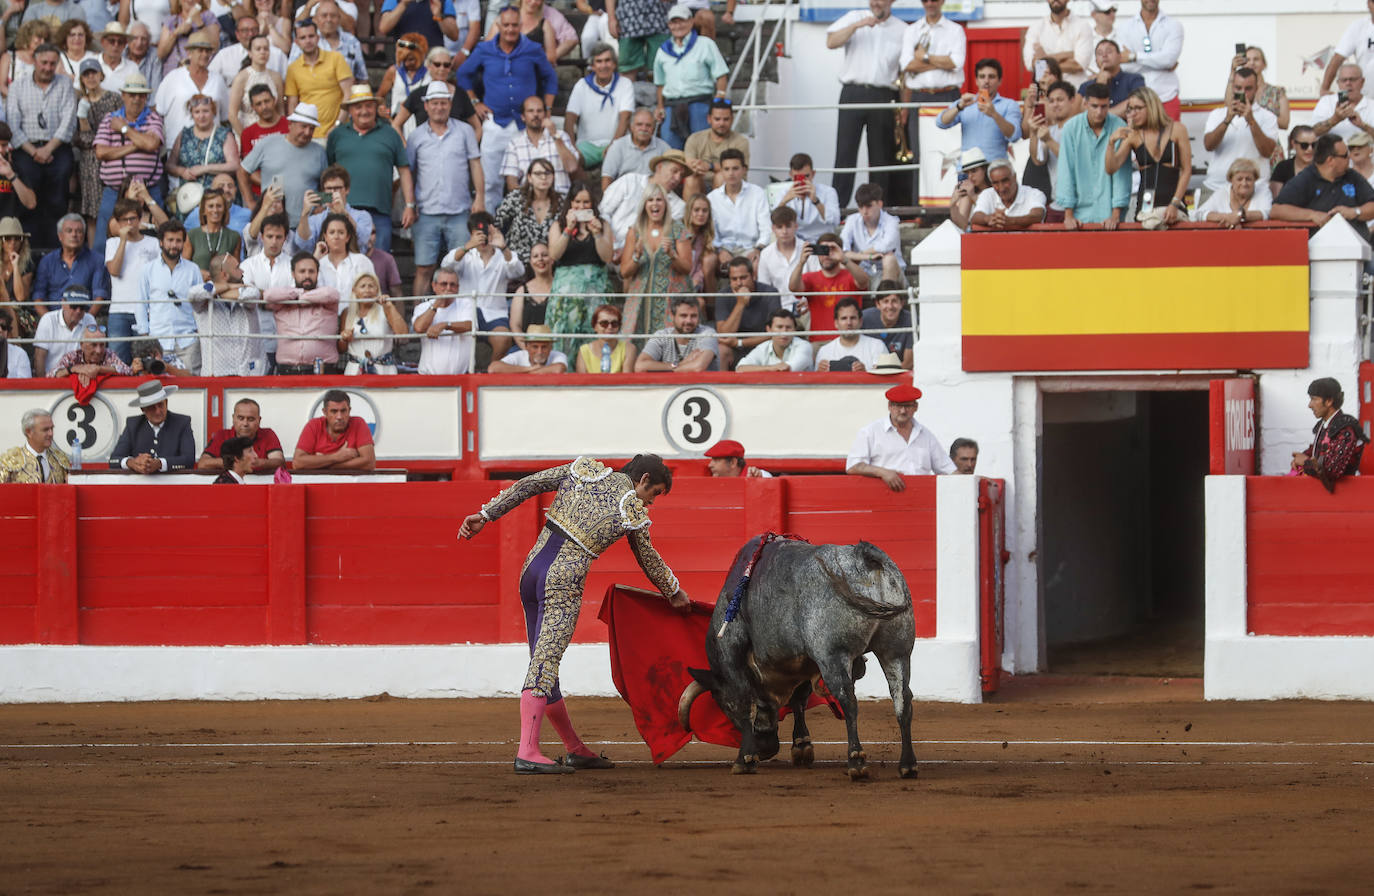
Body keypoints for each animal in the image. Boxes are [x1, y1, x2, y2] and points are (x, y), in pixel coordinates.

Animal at [673, 535, 917, 780]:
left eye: (723, 705)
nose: (766, 749)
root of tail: (865, 557)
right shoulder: (804, 662)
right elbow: (799, 700)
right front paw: (801, 746)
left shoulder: (732, 656)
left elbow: (744, 703)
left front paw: (745, 760)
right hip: (896, 651)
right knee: (902, 698)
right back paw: (908, 765)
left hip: (834, 656)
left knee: (848, 699)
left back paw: (856, 762)